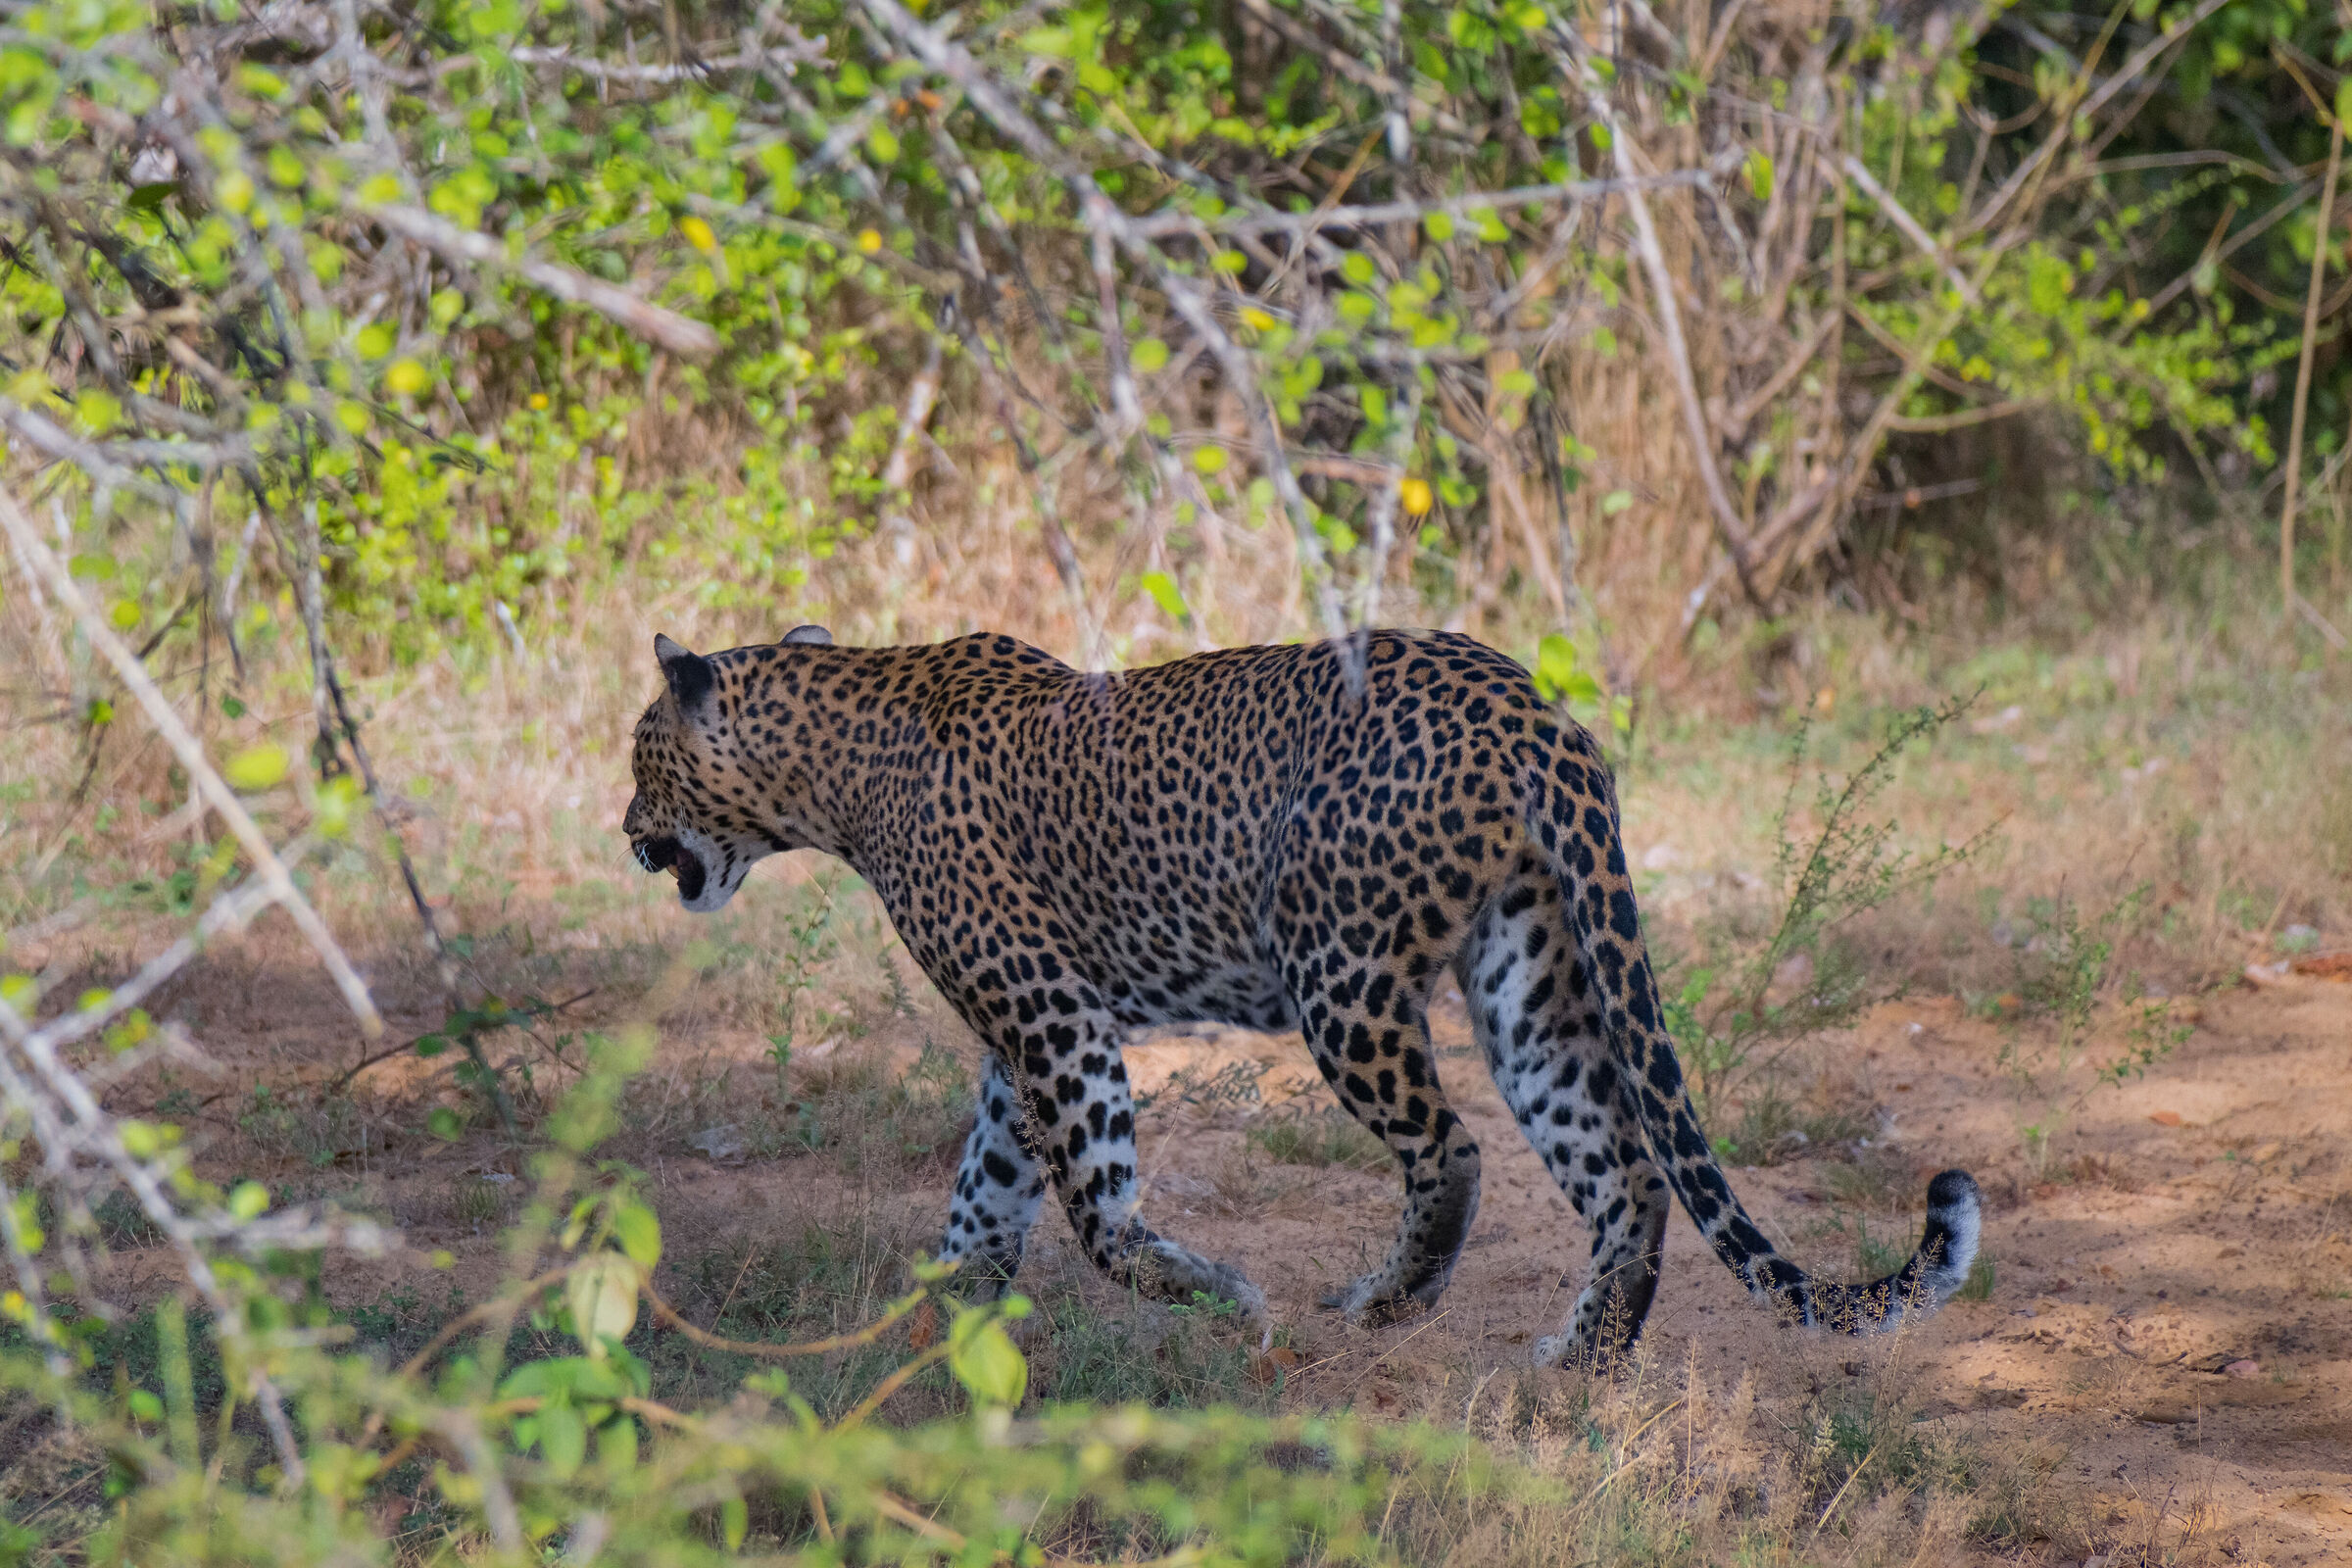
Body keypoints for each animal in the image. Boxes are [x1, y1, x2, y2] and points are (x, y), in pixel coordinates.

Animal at [624, 624, 1981, 1361]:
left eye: (640, 763)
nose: (626, 836)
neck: (831, 760)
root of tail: (1531, 712)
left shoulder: (1051, 1012)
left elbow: (1092, 1208)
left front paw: (1215, 1297)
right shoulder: (1029, 1028)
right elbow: (989, 1189)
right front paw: (943, 1318)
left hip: (1342, 969)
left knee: (1451, 1144)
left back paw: (1392, 1299)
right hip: (1530, 972)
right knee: (1626, 1168)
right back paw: (1583, 1361)